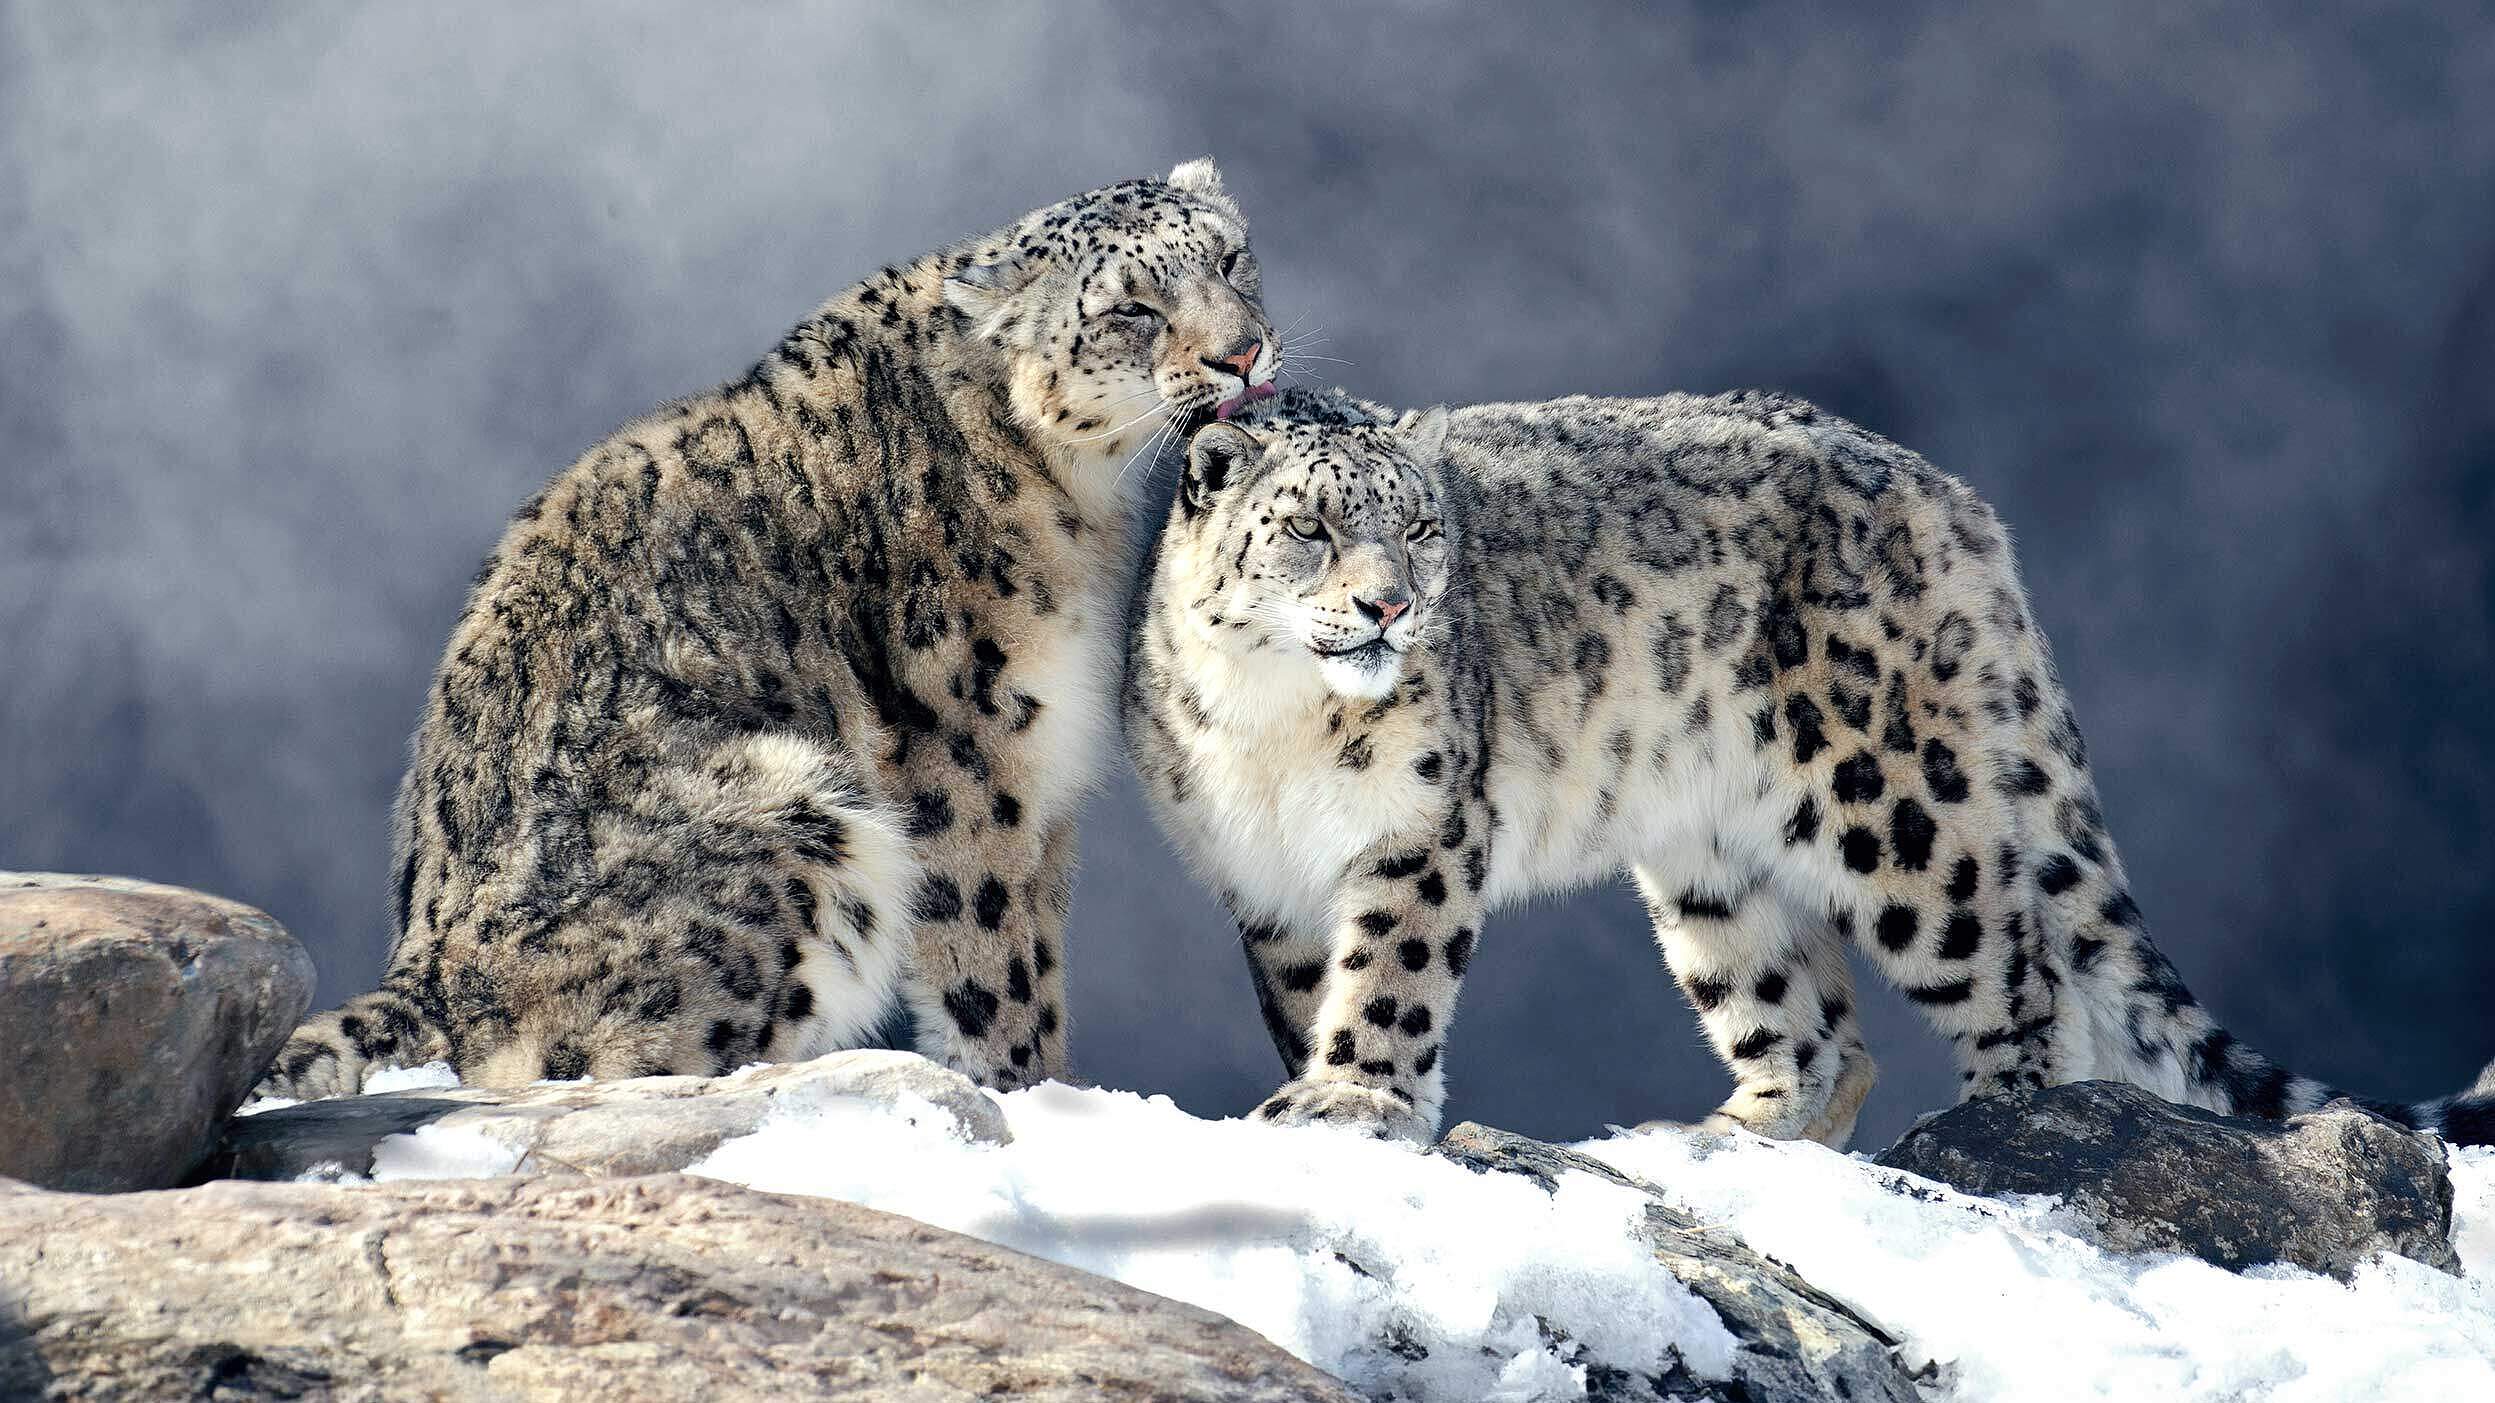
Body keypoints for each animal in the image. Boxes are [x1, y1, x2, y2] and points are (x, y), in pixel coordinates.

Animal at [255, 159, 1278, 1101]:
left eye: (1231, 257)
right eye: (1130, 307)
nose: (1243, 354)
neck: (1080, 494)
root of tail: (426, 968)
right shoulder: (971, 760)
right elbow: (998, 961)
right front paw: (1037, 1095)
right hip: (795, 815)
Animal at [1123, 385, 2495, 1148]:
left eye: (1417, 526)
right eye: (1309, 527)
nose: (1389, 606)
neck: (1277, 727)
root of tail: (1943, 491)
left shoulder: (1418, 828)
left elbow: (1391, 975)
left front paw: (1353, 1098)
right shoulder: (1262, 883)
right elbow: (1311, 990)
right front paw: (1324, 1087)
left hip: (1896, 804)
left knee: (2017, 963)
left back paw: (1990, 1124)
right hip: (1707, 863)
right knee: (1810, 1019)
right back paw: (1723, 1138)